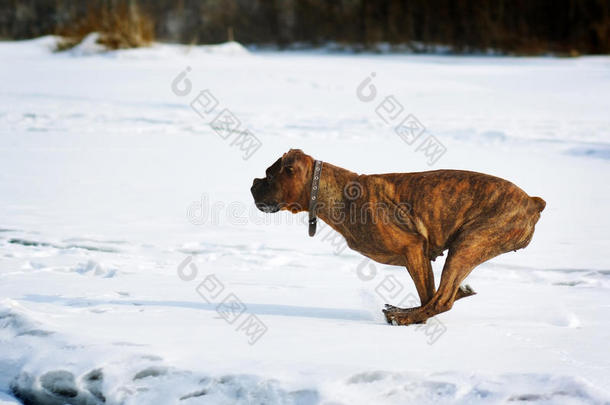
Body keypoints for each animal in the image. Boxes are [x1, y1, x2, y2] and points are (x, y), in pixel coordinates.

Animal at [249, 148, 544, 326]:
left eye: (269, 175)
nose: (252, 183)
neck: (341, 194)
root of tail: (532, 202)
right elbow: (430, 292)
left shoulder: (414, 248)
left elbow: (428, 294)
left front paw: (415, 318)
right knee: (441, 296)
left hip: (467, 245)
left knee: (441, 300)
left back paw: (403, 316)